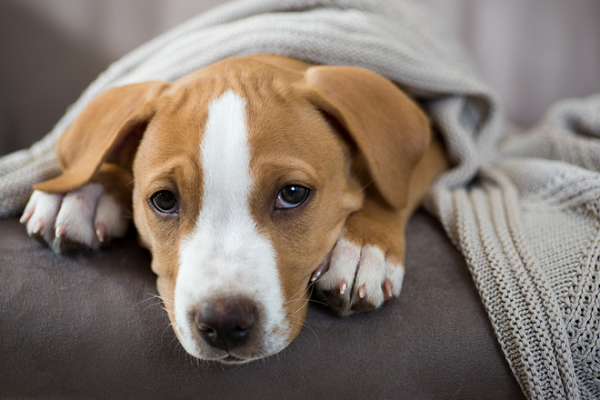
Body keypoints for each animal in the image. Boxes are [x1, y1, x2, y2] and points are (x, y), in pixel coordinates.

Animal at [19, 54, 446, 364]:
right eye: (164, 200)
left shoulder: (435, 145)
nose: (224, 323)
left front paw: (362, 249)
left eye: (293, 193)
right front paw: (79, 190)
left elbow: (391, 188)